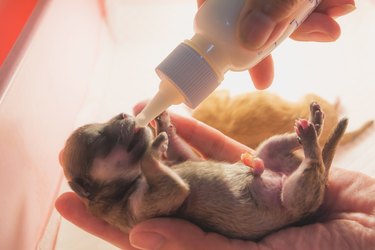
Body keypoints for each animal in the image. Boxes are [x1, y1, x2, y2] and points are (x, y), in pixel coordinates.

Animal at [59, 102, 350, 240]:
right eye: (99, 139)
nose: (122, 115)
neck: (126, 184)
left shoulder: (183, 159)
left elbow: (181, 152)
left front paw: (162, 123)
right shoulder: (137, 209)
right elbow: (166, 182)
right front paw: (153, 147)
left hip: (267, 150)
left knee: (285, 144)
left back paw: (314, 122)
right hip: (296, 196)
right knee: (311, 164)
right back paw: (310, 137)